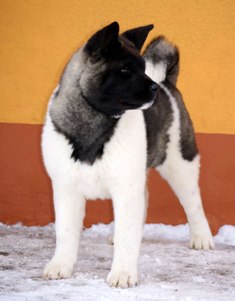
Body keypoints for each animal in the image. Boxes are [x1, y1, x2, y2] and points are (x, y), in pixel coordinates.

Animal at [41, 20, 214, 286]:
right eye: (124, 70)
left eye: (143, 69)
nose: (154, 88)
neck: (97, 120)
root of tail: (166, 82)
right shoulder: (66, 188)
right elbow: (66, 232)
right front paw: (61, 265)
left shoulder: (125, 187)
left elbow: (127, 234)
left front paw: (123, 273)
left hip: (180, 163)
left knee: (193, 202)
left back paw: (201, 237)